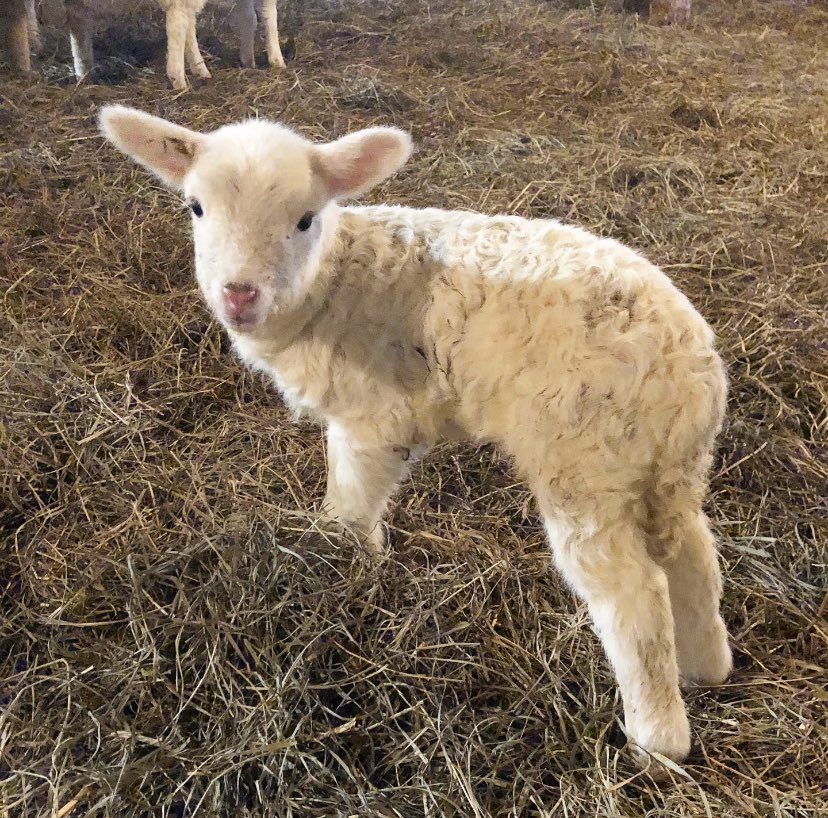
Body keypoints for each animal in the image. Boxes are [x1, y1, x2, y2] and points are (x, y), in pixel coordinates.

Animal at [98, 104, 733, 764]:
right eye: (196, 207)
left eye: (305, 218)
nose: (239, 295)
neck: (335, 281)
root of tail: (685, 363)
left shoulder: (374, 419)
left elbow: (350, 504)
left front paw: (342, 564)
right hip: (666, 465)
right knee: (693, 555)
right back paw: (705, 668)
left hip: (586, 464)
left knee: (635, 594)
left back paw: (657, 741)